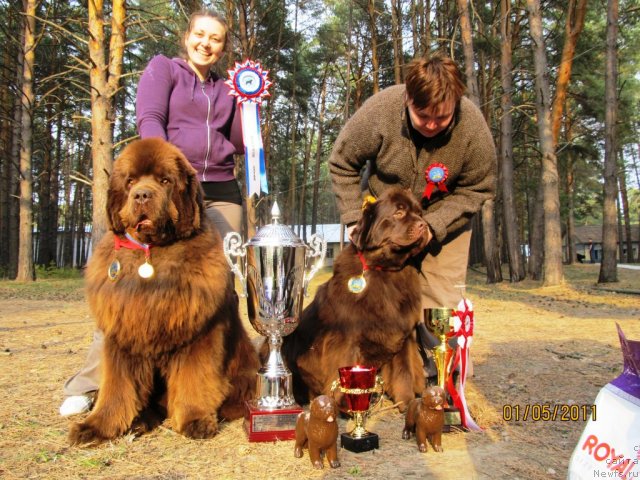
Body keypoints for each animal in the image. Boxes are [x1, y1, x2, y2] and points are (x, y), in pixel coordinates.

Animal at [69, 137, 258, 444]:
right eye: (130, 181)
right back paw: (140, 420)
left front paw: (195, 419)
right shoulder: (121, 334)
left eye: (165, 180)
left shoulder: (197, 334)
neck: (152, 253)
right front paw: (97, 426)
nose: (142, 195)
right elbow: (116, 386)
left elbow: (194, 378)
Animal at [282, 188, 428, 412]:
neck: (384, 271)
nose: (424, 225)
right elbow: (344, 367)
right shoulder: (345, 337)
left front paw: (406, 401)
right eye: (399, 213)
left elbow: (404, 371)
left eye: (420, 213)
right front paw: (347, 404)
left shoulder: (403, 333)